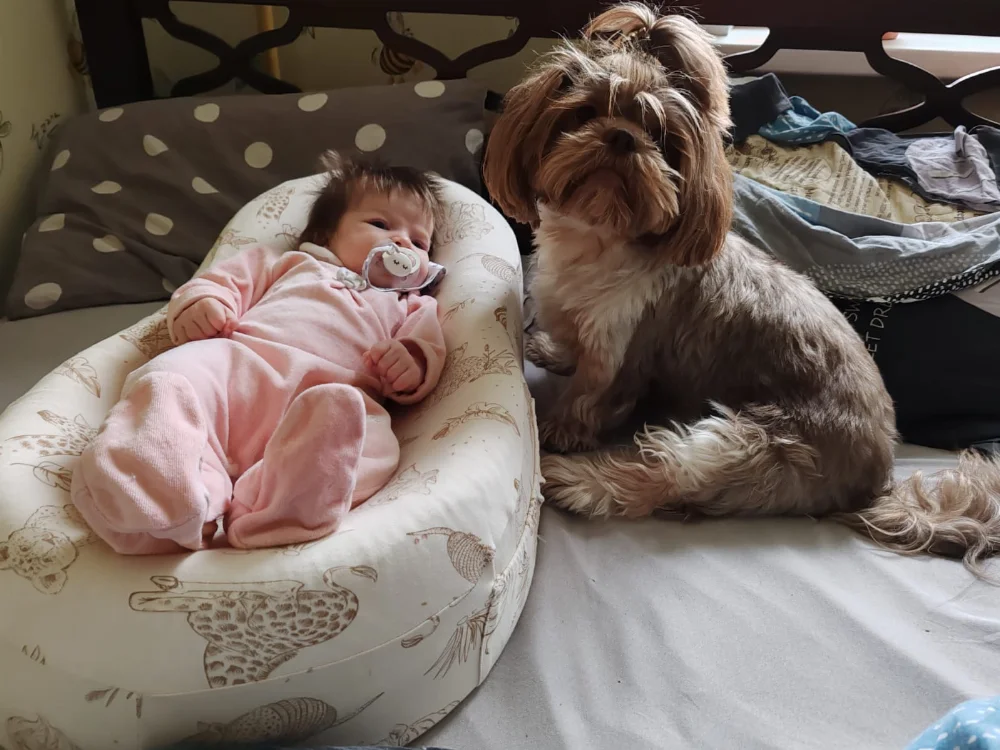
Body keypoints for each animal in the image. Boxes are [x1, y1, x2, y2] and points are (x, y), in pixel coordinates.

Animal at [482, 2, 1000, 572]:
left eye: (662, 138)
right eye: (585, 113)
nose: (622, 136)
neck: (600, 238)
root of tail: (875, 483)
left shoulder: (616, 351)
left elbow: (588, 398)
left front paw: (563, 429)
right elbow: (565, 345)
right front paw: (551, 350)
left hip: (744, 444)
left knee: (658, 477)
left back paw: (574, 480)